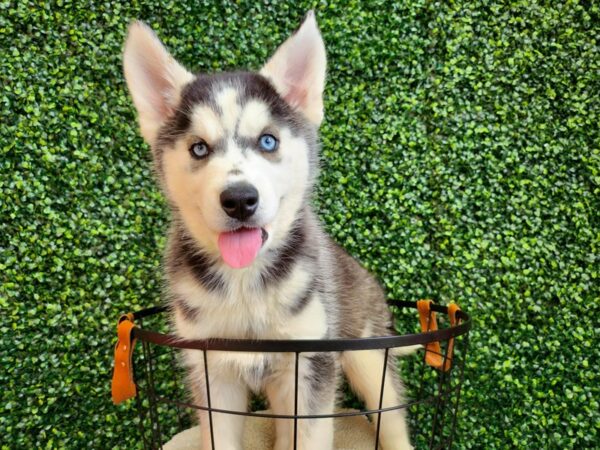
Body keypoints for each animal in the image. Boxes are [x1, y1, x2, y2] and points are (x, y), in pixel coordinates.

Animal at [122, 10, 412, 450]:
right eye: (199, 148)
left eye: (268, 141)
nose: (240, 199)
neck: (245, 282)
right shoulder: (213, 371)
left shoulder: (310, 365)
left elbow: (309, 438)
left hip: (367, 356)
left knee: (393, 422)